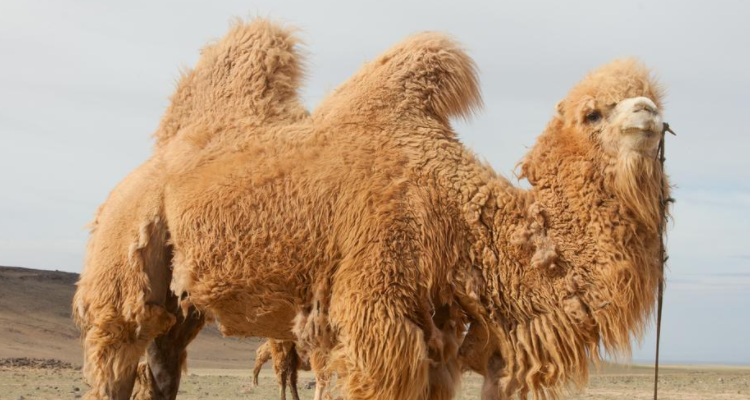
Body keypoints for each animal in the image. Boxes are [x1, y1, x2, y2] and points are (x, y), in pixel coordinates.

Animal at [73, 18, 672, 400]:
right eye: (593, 113)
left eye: (654, 100)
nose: (647, 113)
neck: (457, 215)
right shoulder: (375, 311)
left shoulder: (439, 332)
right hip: (124, 253)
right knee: (117, 355)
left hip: (182, 300)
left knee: (162, 360)